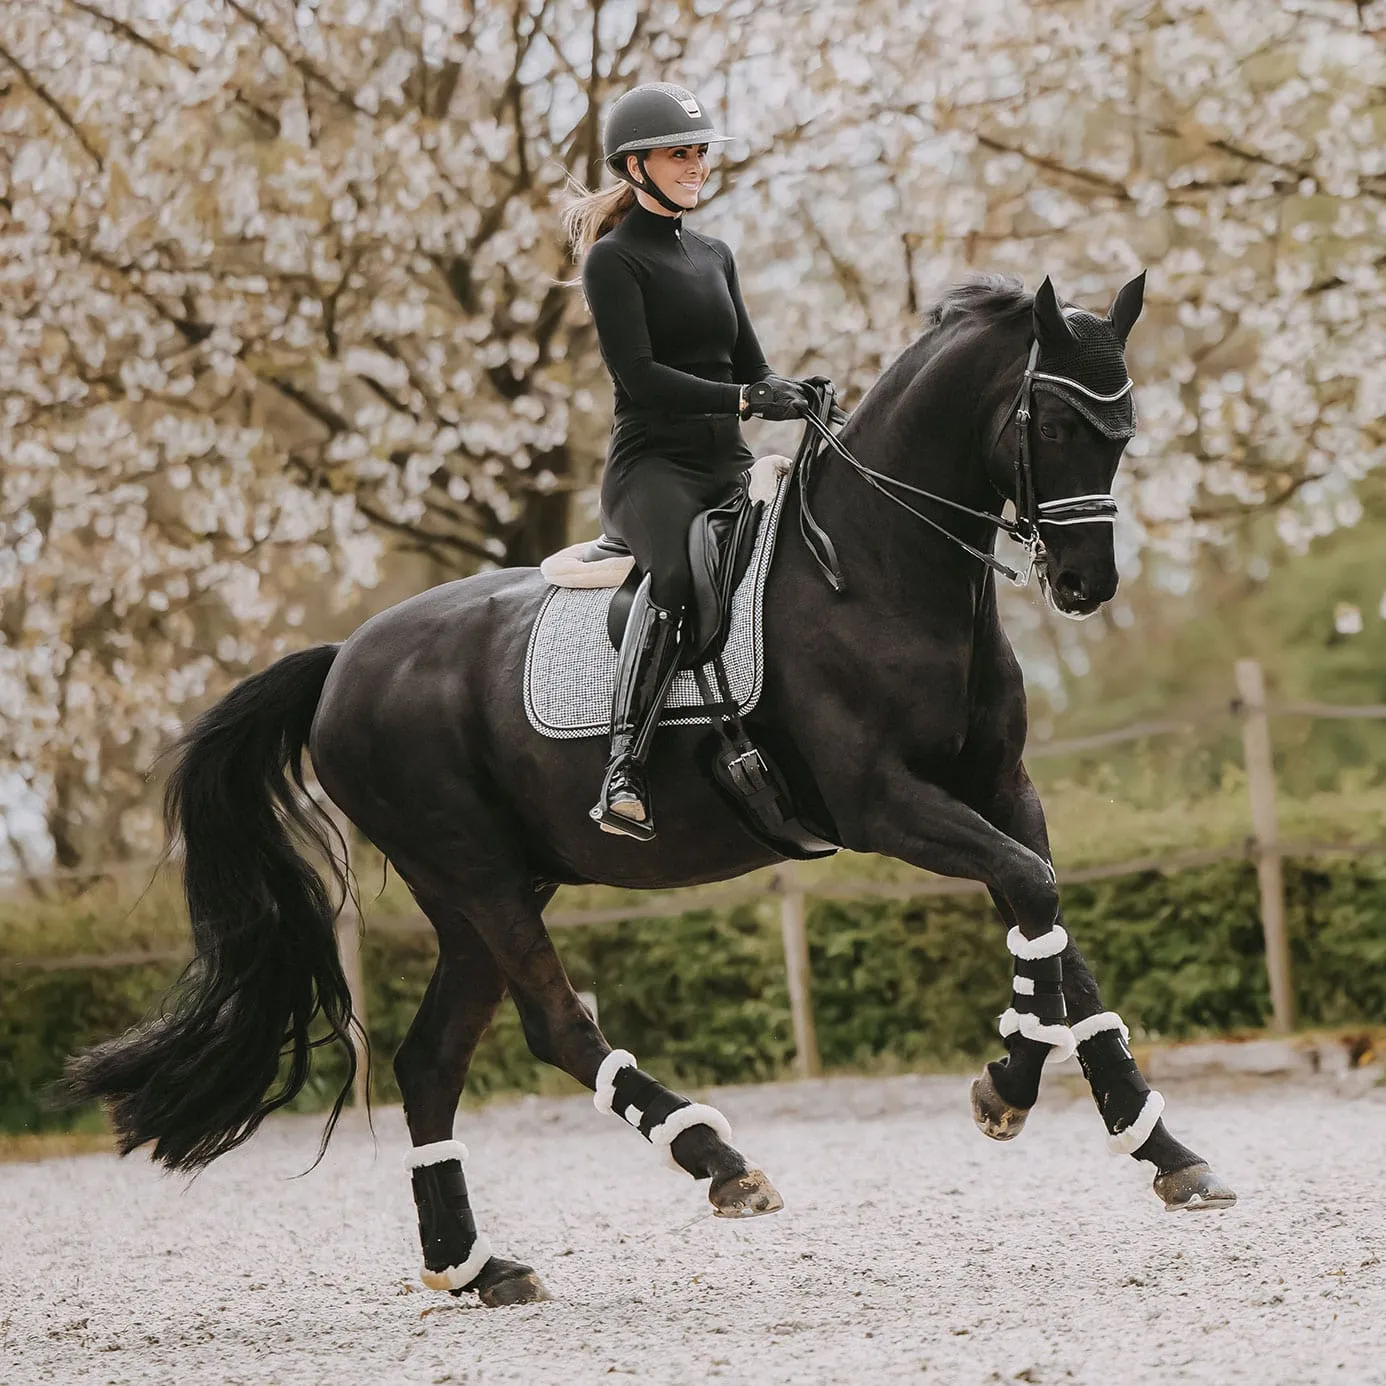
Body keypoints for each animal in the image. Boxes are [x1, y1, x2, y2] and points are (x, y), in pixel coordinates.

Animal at [62, 273, 1236, 1308]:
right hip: (476, 875)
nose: (1086, 586)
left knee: (429, 1062)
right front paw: (1009, 1088)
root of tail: (345, 660)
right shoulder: (883, 805)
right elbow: (1033, 897)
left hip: (486, 892)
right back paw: (715, 1160)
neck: (881, 567)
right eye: (1056, 421)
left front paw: (1156, 1143)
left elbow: (1053, 929)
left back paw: (477, 1269)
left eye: (1124, 428)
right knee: (556, 1028)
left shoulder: (999, 790)